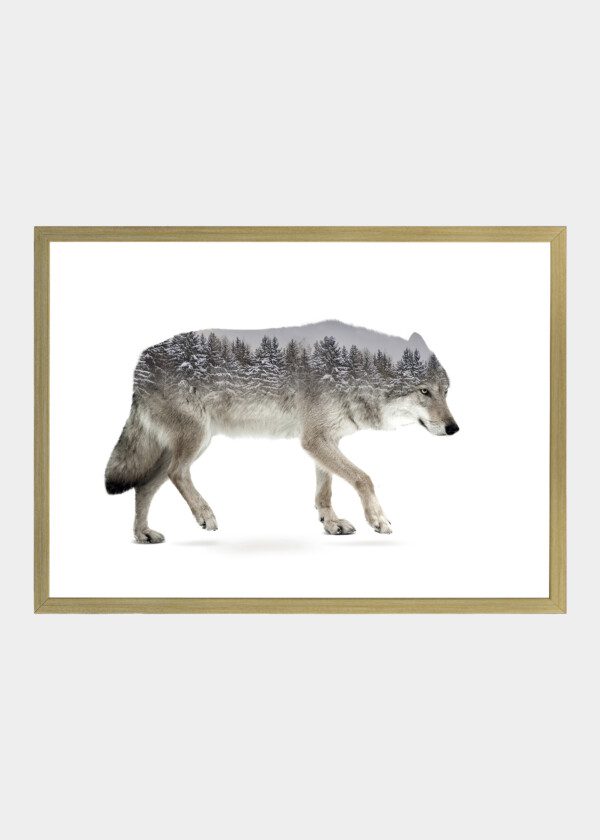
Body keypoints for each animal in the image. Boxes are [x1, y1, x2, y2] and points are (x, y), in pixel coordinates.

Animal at [105, 320, 459, 542]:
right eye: (424, 392)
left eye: (445, 392)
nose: (454, 428)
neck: (352, 372)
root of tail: (140, 361)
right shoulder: (315, 440)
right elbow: (363, 478)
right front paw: (378, 520)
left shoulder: (323, 441)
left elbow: (324, 492)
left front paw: (331, 523)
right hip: (196, 441)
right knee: (176, 474)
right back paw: (205, 515)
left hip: (180, 447)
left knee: (144, 487)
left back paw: (143, 535)